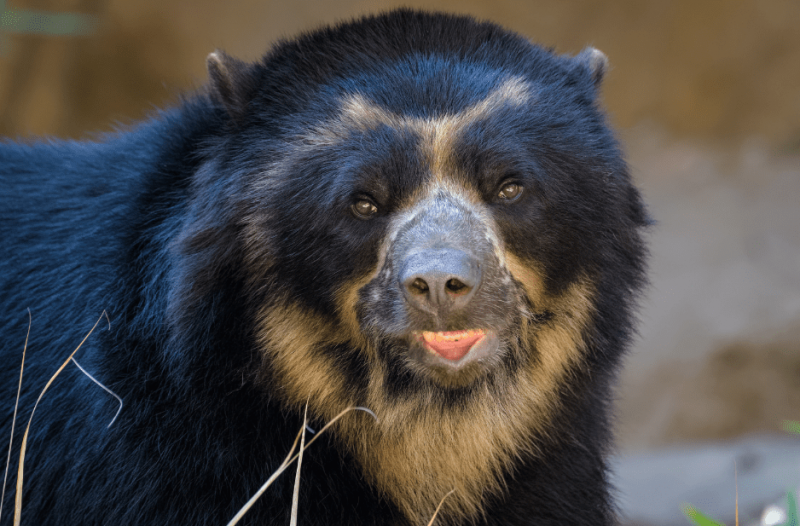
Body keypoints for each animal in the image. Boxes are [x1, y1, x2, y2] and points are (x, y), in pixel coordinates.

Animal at [0, 8, 648, 526]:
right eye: (363, 202)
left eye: (509, 188)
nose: (442, 286)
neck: (429, 427)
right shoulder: (151, 453)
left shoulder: (554, 461)